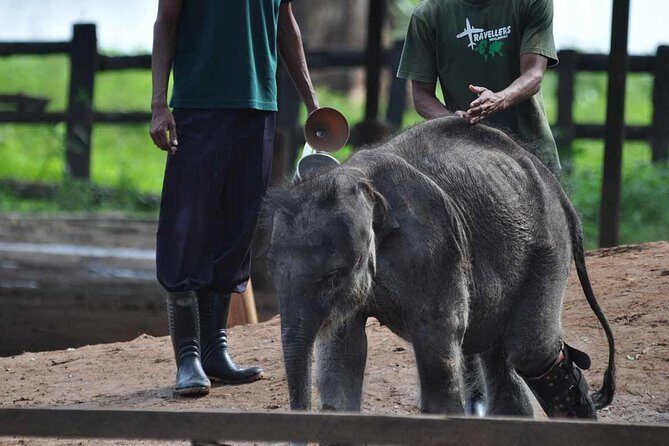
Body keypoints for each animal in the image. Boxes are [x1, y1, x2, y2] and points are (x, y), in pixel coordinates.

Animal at [263, 116, 615, 419]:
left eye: (334, 277)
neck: (361, 182)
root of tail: (559, 190)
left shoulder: (435, 247)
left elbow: (438, 338)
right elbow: (344, 350)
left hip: (547, 246)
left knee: (530, 350)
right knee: (496, 349)